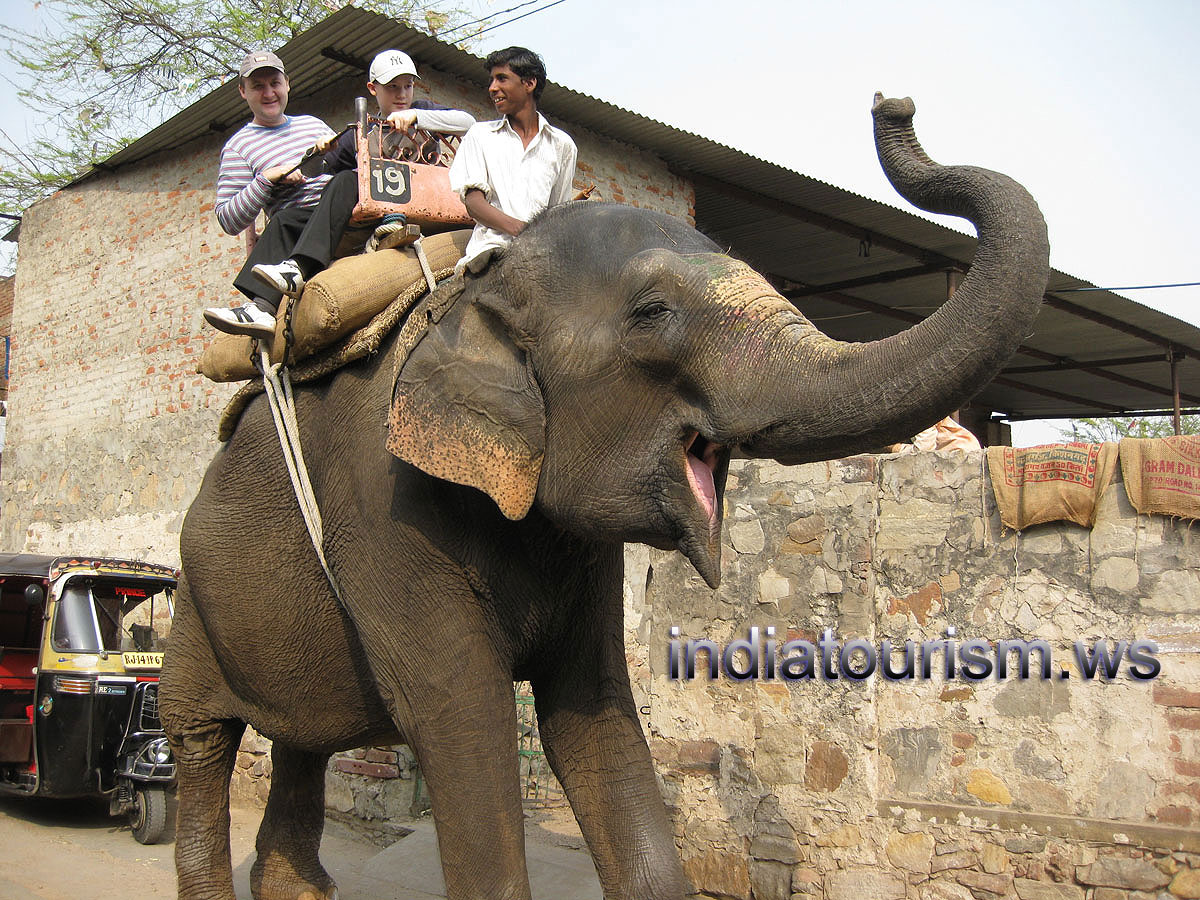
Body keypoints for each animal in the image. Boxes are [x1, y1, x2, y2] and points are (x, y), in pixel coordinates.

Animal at [160, 94, 1049, 900]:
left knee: (299, 743)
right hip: (192, 594)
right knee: (199, 738)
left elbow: (591, 713)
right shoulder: (382, 511)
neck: (476, 297)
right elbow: (462, 718)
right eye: (653, 314)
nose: (892, 103)